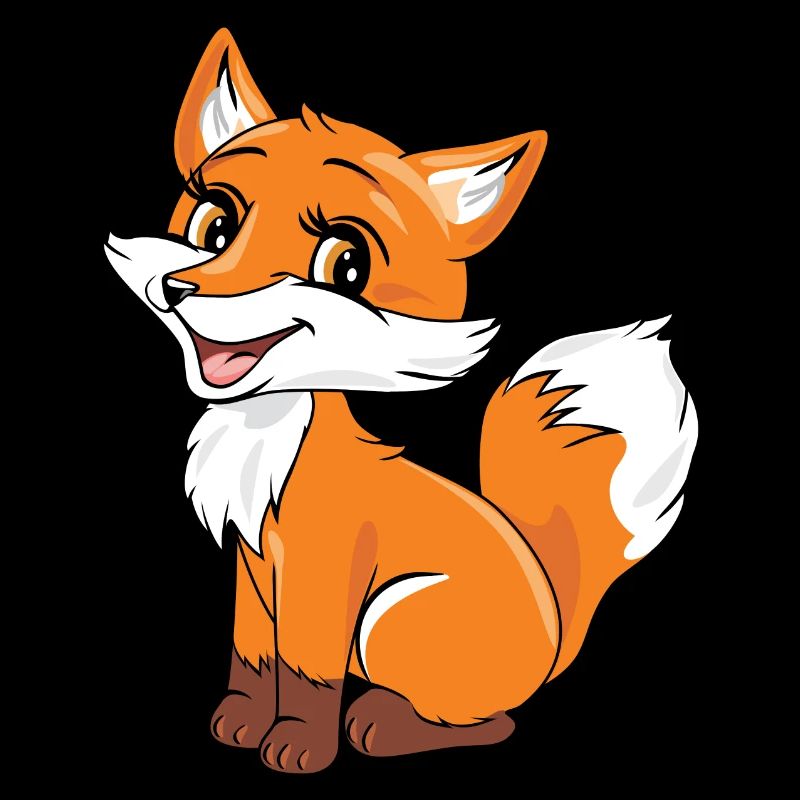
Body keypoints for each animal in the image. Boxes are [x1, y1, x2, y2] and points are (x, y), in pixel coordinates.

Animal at [105, 29, 698, 774]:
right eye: (215, 227)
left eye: (345, 265)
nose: (184, 289)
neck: (268, 436)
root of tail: (558, 631)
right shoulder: (253, 566)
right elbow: (252, 656)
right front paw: (241, 722)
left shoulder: (323, 576)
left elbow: (306, 674)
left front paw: (299, 745)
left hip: (389, 614)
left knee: (495, 723)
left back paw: (383, 725)